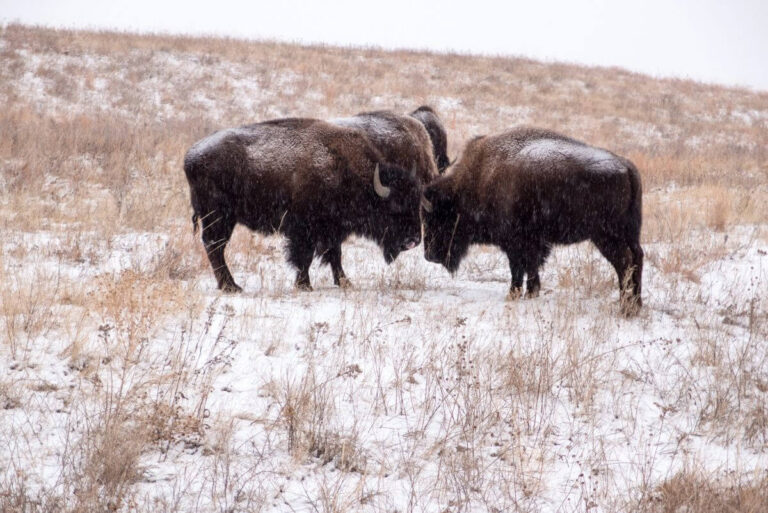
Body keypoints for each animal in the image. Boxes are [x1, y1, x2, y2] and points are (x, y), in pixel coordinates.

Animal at [184, 118, 423, 292]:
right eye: (395, 207)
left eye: (416, 203)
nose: (413, 240)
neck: (345, 169)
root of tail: (191, 156)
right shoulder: (304, 229)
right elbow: (305, 257)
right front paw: (305, 285)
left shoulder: (332, 229)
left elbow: (335, 255)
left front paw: (345, 282)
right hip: (218, 217)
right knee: (215, 246)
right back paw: (231, 286)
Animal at [421, 127, 644, 314]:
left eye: (437, 220)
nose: (429, 256)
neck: (478, 178)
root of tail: (626, 168)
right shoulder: (533, 243)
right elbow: (531, 268)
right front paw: (531, 293)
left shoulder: (516, 243)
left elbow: (518, 268)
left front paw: (514, 294)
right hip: (630, 233)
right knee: (637, 257)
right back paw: (637, 304)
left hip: (605, 235)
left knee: (624, 262)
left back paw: (625, 307)